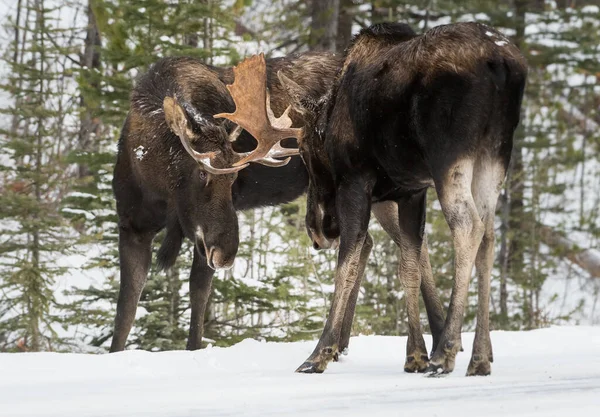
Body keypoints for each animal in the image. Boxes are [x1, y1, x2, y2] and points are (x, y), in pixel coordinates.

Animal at [218, 21, 528, 376]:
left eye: (307, 155)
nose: (317, 231)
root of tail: (501, 63)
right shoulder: (411, 191)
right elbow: (410, 267)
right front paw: (414, 354)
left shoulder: (356, 181)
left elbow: (347, 266)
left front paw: (320, 353)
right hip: (495, 155)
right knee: (489, 236)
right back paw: (479, 357)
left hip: (449, 157)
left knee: (468, 227)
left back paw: (446, 351)